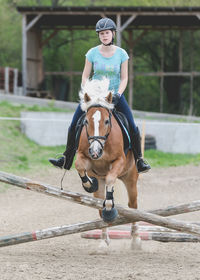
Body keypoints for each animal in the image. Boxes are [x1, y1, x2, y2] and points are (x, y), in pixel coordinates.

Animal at [74, 79, 140, 247]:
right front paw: (89, 184)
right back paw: (104, 240)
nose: (95, 151)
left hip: (131, 178)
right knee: (98, 207)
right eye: (86, 121)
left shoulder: (119, 161)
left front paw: (110, 206)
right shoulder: (85, 157)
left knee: (133, 206)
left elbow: (111, 178)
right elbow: (79, 166)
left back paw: (135, 239)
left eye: (106, 121)